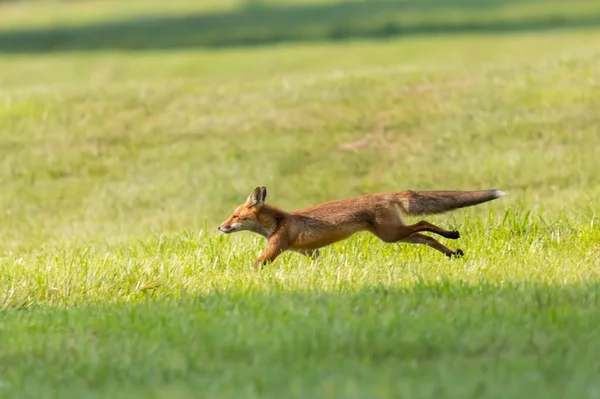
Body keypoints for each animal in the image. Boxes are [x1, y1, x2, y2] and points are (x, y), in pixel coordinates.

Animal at [218, 187, 504, 268]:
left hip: (391, 234)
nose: (220, 227)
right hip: (394, 236)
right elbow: (317, 264)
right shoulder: (311, 252)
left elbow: (256, 265)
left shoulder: (275, 249)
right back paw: (452, 252)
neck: (280, 221)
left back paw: (452, 237)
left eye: (235, 216)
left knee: (423, 224)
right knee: (426, 237)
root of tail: (386, 193)